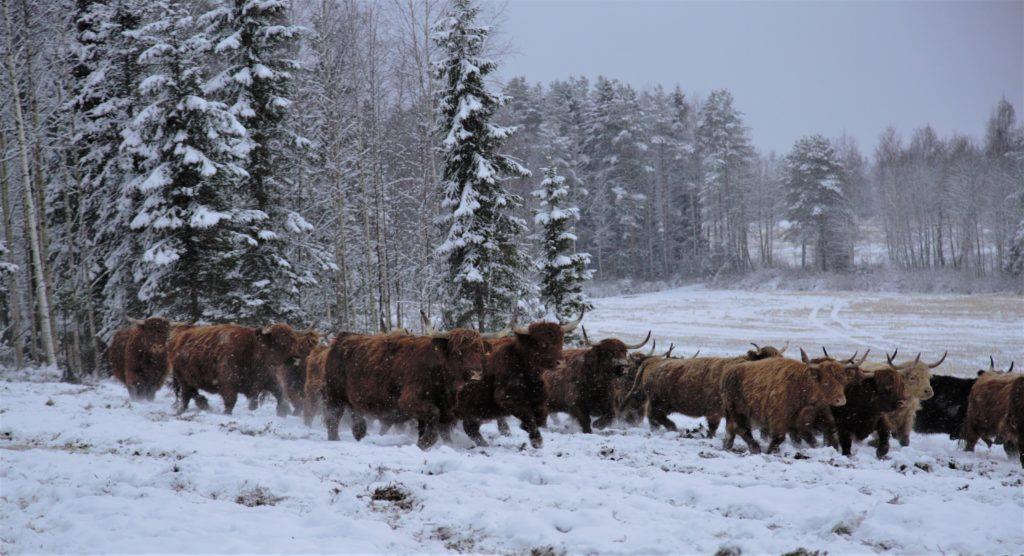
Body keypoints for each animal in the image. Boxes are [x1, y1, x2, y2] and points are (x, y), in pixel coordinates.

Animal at [167, 321, 315, 417]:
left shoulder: (269, 380)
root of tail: (179, 337)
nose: (295, 358)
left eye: (294, 341)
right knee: (188, 395)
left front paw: (281, 413)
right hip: (183, 379)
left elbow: (280, 394)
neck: (254, 350)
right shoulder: (227, 384)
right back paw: (192, 408)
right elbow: (230, 401)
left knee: (189, 395)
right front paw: (226, 414)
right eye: (281, 342)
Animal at [618, 341, 786, 438]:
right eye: (767, 360)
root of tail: (651, 362)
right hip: (657, 401)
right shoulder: (714, 411)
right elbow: (713, 427)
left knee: (654, 418)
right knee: (654, 416)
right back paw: (673, 428)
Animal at [720, 350, 856, 454]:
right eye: (826, 381)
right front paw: (770, 451)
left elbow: (829, 432)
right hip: (737, 412)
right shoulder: (779, 419)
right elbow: (779, 437)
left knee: (731, 432)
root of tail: (728, 373)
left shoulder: (819, 414)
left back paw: (728, 447)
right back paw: (755, 448)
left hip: (733, 415)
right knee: (742, 430)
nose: (841, 400)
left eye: (843, 380)